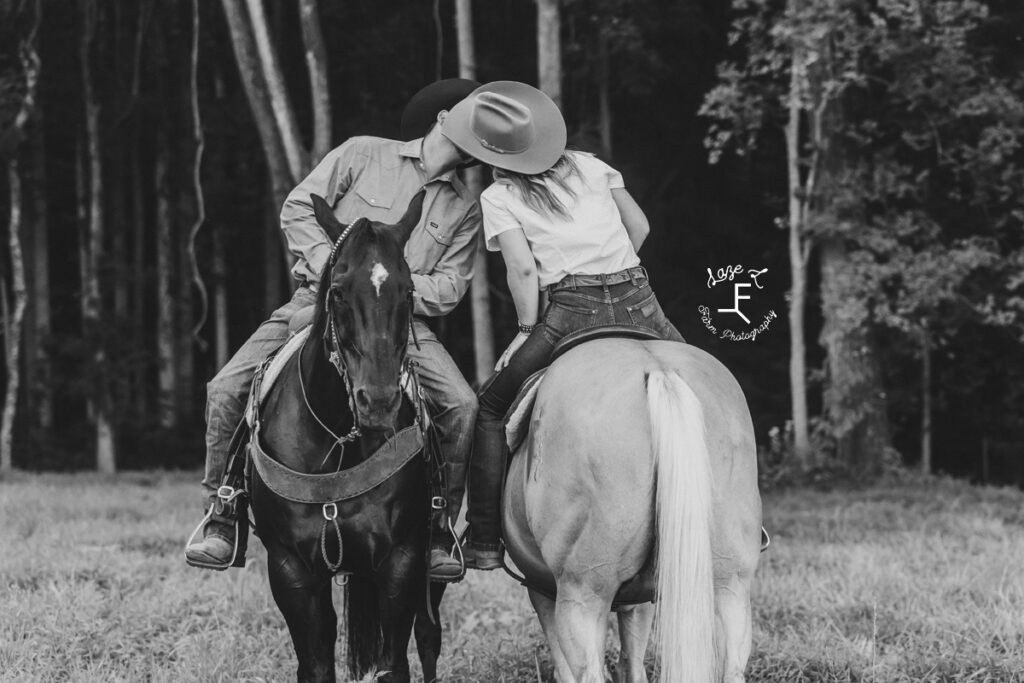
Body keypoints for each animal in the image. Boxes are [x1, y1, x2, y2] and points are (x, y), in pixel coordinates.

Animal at [250, 191, 444, 683]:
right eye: (337, 290)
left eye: (409, 291)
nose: (378, 401)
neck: (338, 439)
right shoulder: (291, 570)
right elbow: (316, 665)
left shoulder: (401, 560)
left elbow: (396, 664)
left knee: (430, 636)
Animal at [499, 339, 765, 679]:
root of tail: (659, 369)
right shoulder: (642, 594)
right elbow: (633, 662)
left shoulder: (541, 586)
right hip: (731, 584)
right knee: (731, 667)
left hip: (582, 593)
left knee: (588, 672)